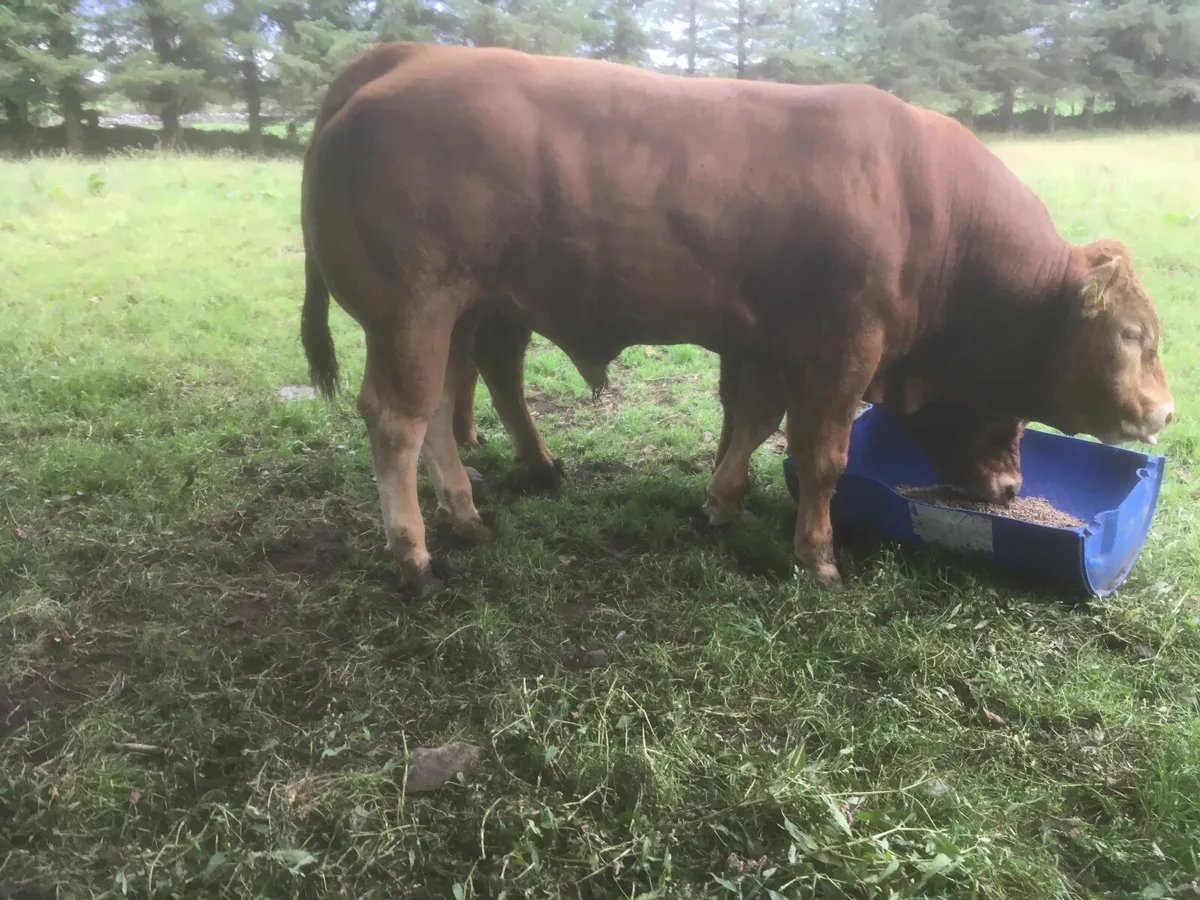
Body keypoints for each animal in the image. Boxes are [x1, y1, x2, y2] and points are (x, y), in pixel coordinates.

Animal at [299, 42, 1173, 590]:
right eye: (1135, 336)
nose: (1163, 412)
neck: (932, 214)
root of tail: (397, 66)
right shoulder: (838, 352)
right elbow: (820, 458)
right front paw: (816, 557)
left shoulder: (766, 344)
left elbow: (750, 423)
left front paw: (720, 503)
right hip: (411, 309)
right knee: (398, 419)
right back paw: (412, 553)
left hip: (461, 311)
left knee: (446, 408)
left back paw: (467, 515)